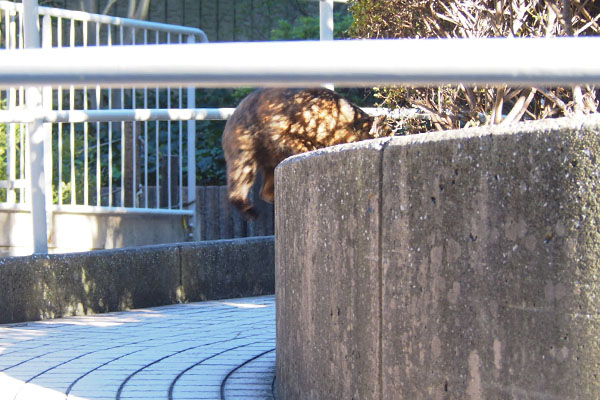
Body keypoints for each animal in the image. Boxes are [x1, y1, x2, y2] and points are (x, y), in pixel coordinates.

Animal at [223, 87, 392, 220]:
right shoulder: (284, 131)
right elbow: (303, 144)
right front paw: (311, 149)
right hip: (245, 160)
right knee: (236, 191)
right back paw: (250, 211)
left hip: (270, 162)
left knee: (263, 191)